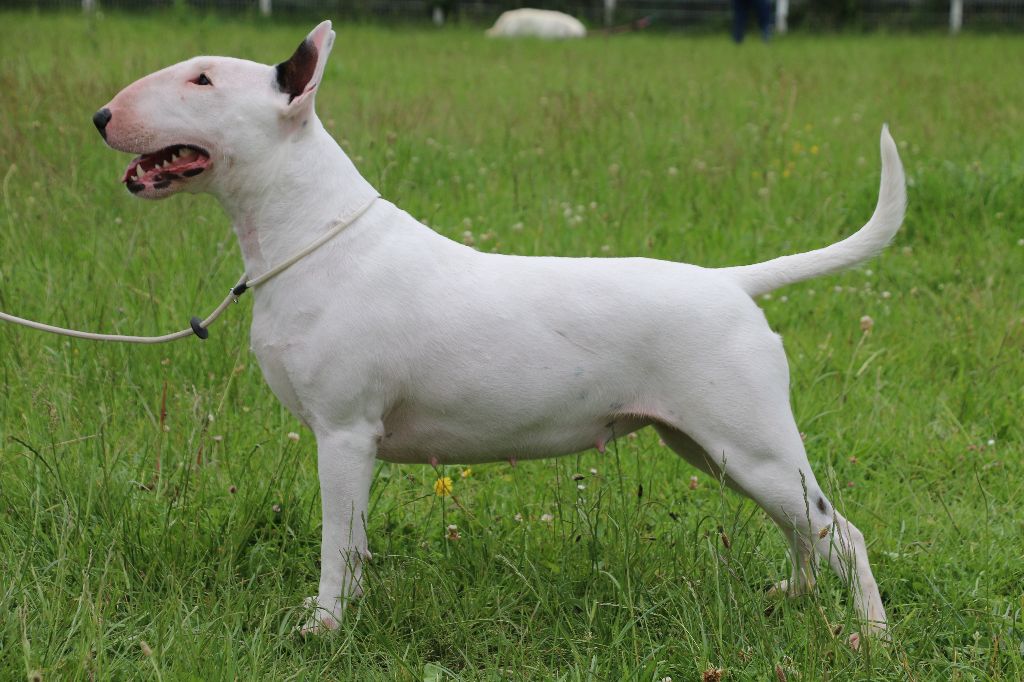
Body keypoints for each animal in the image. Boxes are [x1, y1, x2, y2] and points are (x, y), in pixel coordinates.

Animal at [88, 19, 905, 643]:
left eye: (202, 81)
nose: (100, 118)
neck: (309, 231)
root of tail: (731, 282)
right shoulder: (353, 441)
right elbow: (355, 545)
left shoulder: (345, 434)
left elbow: (337, 547)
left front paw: (324, 629)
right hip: (711, 447)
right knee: (802, 530)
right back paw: (792, 599)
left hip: (752, 441)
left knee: (842, 532)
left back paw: (871, 635)